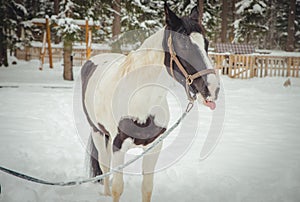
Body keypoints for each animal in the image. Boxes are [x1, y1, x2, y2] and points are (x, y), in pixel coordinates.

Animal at [81, 4, 219, 202]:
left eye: (206, 43)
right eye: (184, 44)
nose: (212, 88)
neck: (141, 100)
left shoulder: (154, 147)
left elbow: (147, 188)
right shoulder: (118, 147)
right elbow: (117, 188)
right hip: (97, 132)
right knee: (105, 166)